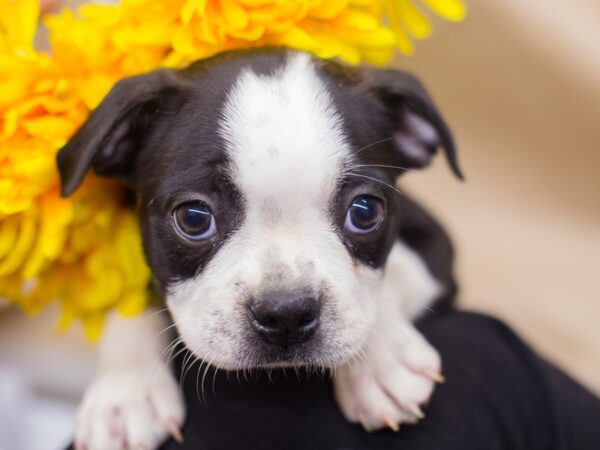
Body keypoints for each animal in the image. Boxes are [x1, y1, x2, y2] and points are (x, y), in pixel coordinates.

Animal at [58, 48, 460, 450]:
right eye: (193, 218)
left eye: (365, 212)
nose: (287, 313)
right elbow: (132, 297)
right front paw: (125, 393)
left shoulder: (438, 250)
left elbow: (392, 273)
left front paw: (382, 359)